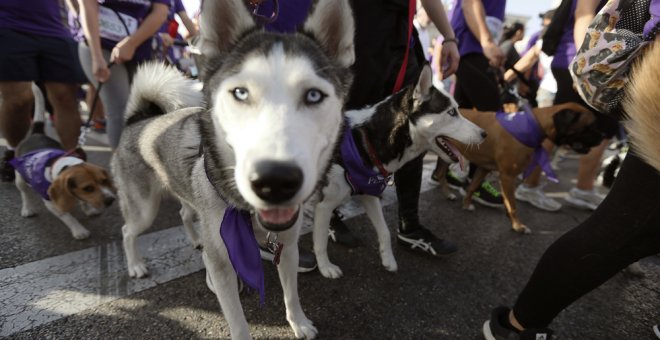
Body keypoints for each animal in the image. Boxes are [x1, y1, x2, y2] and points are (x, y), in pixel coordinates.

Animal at [10, 84, 116, 240]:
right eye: (88, 188)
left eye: (104, 181)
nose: (110, 200)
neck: (64, 165)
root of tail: (36, 133)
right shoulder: (53, 204)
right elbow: (68, 217)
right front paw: (79, 231)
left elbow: (82, 202)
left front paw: (88, 209)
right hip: (20, 179)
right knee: (24, 194)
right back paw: (27, 209)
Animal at [436, 102, 612, 232]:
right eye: (589, 126)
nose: (604, 136)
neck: (535, 125)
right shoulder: (507, 177)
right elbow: (513, 205)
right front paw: (517, 226)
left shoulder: (484, 168)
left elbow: (472, 187)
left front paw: (466, 204)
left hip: (447, 153)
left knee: (440, 174)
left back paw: (447, 193)